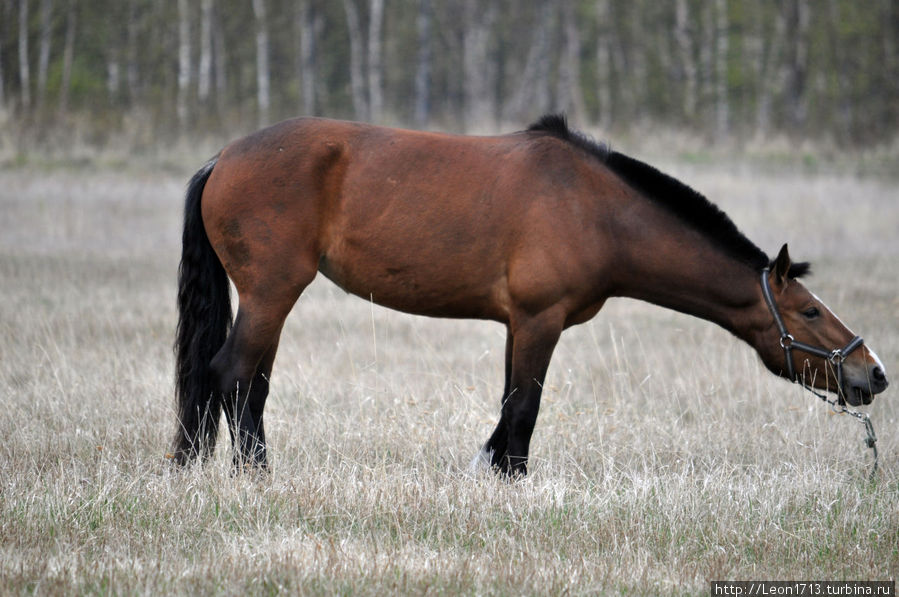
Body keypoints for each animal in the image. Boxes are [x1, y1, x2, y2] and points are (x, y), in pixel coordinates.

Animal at [172, 115, 888, 474]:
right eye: (809, 311)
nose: (872, 373)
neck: (595, 208)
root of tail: (222, 159)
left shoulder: (517, 324)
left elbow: (507, 405)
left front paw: (487, 469)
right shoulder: (541, 321)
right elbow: (524, 410)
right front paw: (513, 481)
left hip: (268, 301)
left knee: (244, 385)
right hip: (272, 293)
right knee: (231, 374)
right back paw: (255, 478)